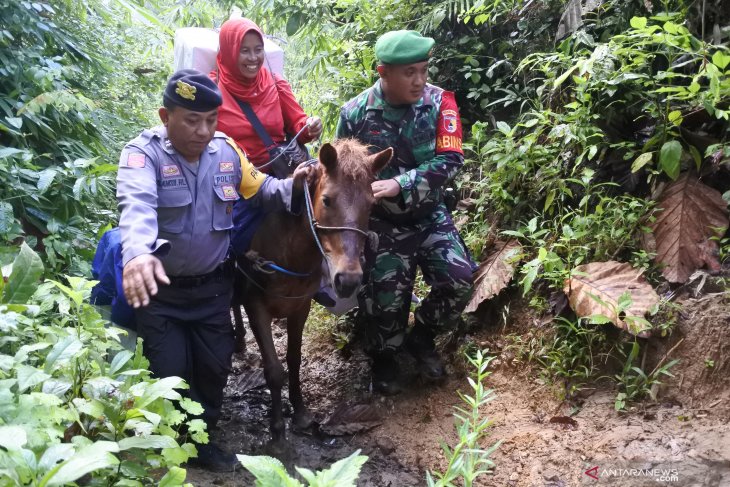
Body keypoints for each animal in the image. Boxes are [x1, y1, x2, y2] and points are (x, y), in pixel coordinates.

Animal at [233, 139, 392, 448]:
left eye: (371, 204)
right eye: (327, 200)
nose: (348, 279)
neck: (287, 248)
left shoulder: (300, 306)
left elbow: (294, 360)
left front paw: (301, 413)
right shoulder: (256, 306)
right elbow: (274, 369)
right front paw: (277, 428)